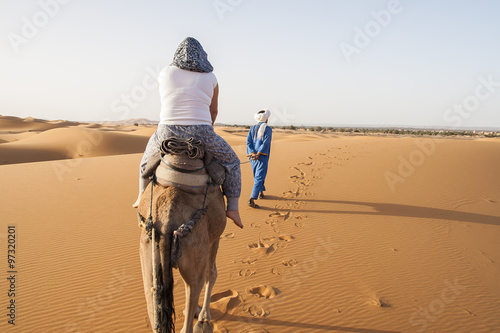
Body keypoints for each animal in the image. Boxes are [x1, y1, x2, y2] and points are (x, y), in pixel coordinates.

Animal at [139, 175, 229, 330]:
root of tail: (167, 222)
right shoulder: (214, 238)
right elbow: (211, 273)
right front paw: (204, 316)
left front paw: (195, 311)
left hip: (148, 252)